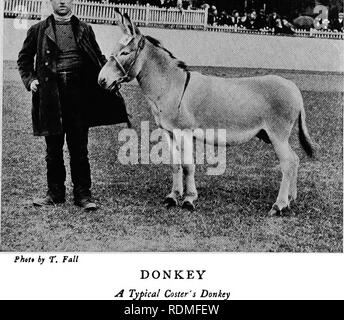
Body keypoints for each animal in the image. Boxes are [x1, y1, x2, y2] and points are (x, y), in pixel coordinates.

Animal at [98, 10, 316, 216]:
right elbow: (175, 164)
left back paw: (279, 205)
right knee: (295, 159)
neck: (170, 86)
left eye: (125, 52)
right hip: (272, 135)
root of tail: (293, 87)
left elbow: (188, 165)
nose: (101, 80)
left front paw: (189, 199)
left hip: (277, 133)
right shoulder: (168, 132)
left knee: (288, 162)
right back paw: (290, 199)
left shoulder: (184, 132)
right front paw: (173, 196)